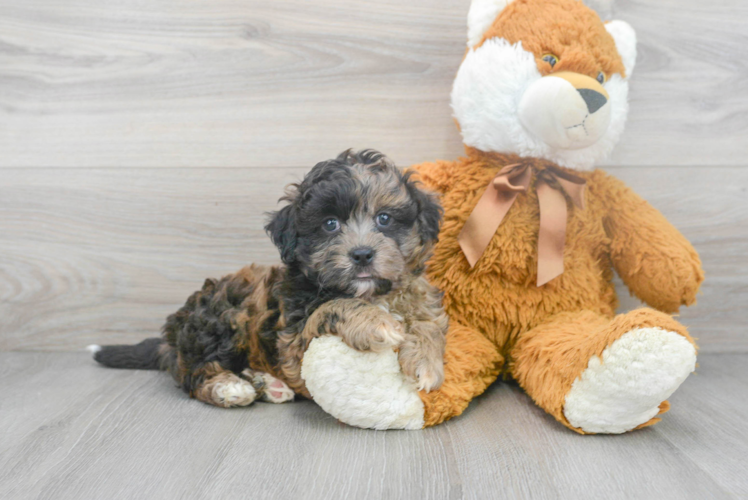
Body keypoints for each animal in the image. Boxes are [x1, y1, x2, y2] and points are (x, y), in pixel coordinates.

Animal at [90, 150, 448, 408]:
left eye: (384, 218)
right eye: (330, 224)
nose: (361, 255)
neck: (372, 293)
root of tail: (173, 337)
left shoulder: (418, 296)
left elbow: (427, 322)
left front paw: (425, 362)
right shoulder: (293, 344)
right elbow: (334, 306)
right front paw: (378, 323)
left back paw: (267, 384)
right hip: (222, 319)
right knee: (193, 372)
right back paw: (228, 387)